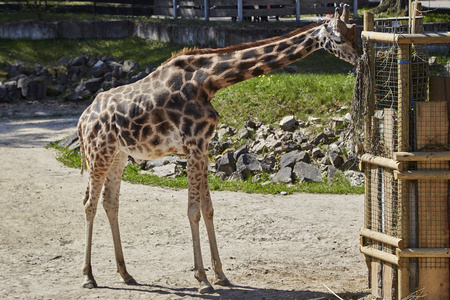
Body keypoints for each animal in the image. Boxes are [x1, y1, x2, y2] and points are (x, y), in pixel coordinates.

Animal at [76, 4, 358, 294]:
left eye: (356, 34)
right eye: (338, 39)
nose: (360, 59)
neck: (209, 82)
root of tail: (82, 120)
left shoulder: (202, 146)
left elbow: (208, 209)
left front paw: (220, 275)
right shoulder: (193, 145)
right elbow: (193, 211)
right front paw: (202, 279)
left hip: (118, 154)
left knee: (110, 203)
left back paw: (125, 274)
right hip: (98, 152)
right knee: (89, 203)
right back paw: (88, 276)